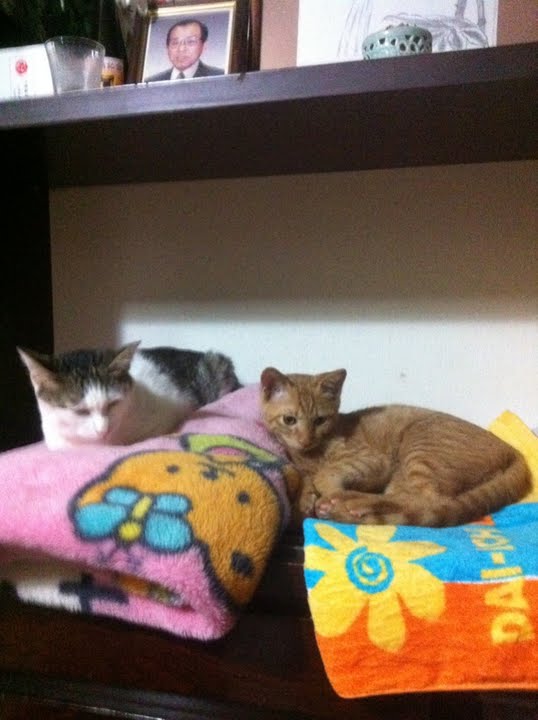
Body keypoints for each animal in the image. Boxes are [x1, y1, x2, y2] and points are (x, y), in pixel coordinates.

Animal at [260, 367, 531, 527]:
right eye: (289, 420)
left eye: (320, 420)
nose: (305, 439)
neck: (310, 455)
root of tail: (513, 450)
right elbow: (305, 480)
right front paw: (304, 499)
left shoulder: (375, 461)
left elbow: (326, 474)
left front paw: (326, 492)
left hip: (420, 448)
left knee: (426, 500)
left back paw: (344, 503)